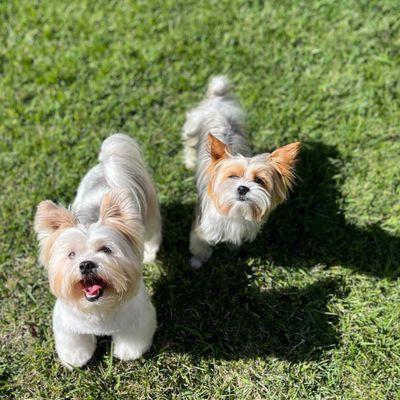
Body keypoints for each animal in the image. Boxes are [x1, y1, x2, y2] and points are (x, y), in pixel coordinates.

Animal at [33, 134, 161, 368]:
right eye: (71, 255)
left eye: (106, 249)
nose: (86, 264)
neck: (99, 306)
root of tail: (107, 167)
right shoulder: (67, 323)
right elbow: (74, 341)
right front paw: (76, 358)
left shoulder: (137, 315)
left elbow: (133, 337)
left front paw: (129, 352)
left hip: (149, 214)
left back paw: (149, 254)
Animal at [181, 76, 300, 268]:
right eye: (233, 176)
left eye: (259, 180)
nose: (243, 188)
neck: (235, 210)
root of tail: (219, 99)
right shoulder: (202, 226)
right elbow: (199, 245)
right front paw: (196, 262)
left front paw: (232, 249)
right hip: (192, 126)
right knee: (189, 144)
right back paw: (190, 162)